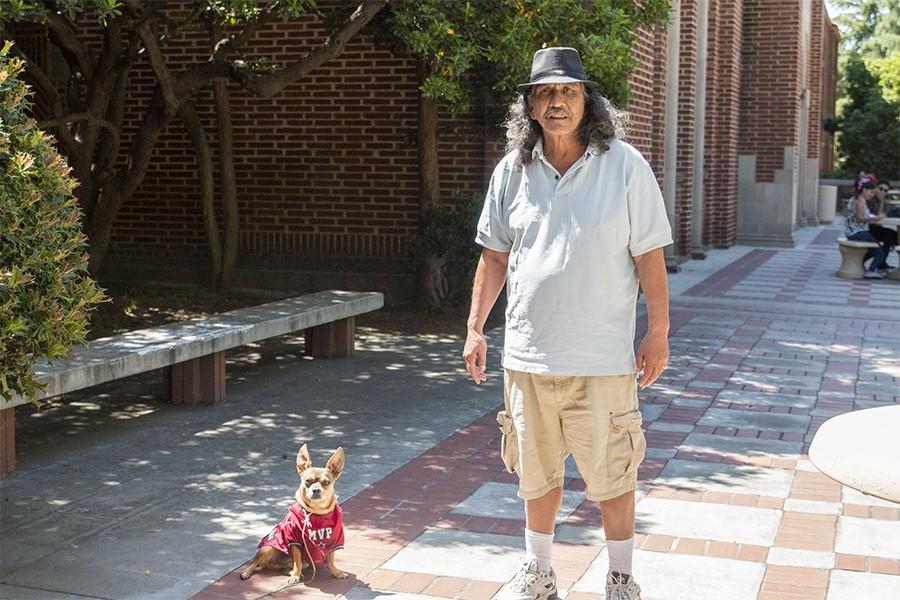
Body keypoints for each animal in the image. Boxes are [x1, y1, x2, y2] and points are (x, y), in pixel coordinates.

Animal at [239, 442, 348, 584]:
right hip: (269, 548)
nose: (316, 490)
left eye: (326, 482)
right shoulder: (294, 540)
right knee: (254, 562)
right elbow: (297, 561)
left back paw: (291, 572)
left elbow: (331, 559)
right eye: (307, 481)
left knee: (287, 568)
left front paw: (336, 572)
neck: (317, 512)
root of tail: (271, 564)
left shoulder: (334, 540)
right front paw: (295, 575)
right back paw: (247, 572)